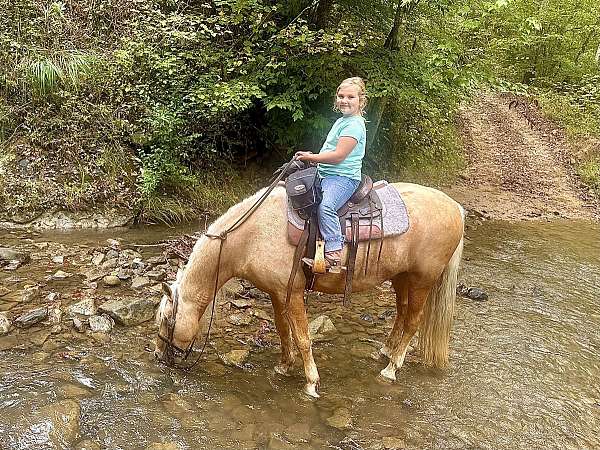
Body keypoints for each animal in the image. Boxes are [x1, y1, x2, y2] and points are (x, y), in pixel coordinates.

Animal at [155, 183, 464, 398]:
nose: (158, 356)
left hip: (422, 280)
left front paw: (311, 384)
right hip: (401, 277)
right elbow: (283, 330)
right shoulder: (277, 292)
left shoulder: (292, 293)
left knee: (413, 321)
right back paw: (386, 351)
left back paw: (391, 369)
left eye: (166, 320)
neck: (252, 236)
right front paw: (283, 366)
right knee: (401, 314)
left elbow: (303, 337)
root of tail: (455, 207)